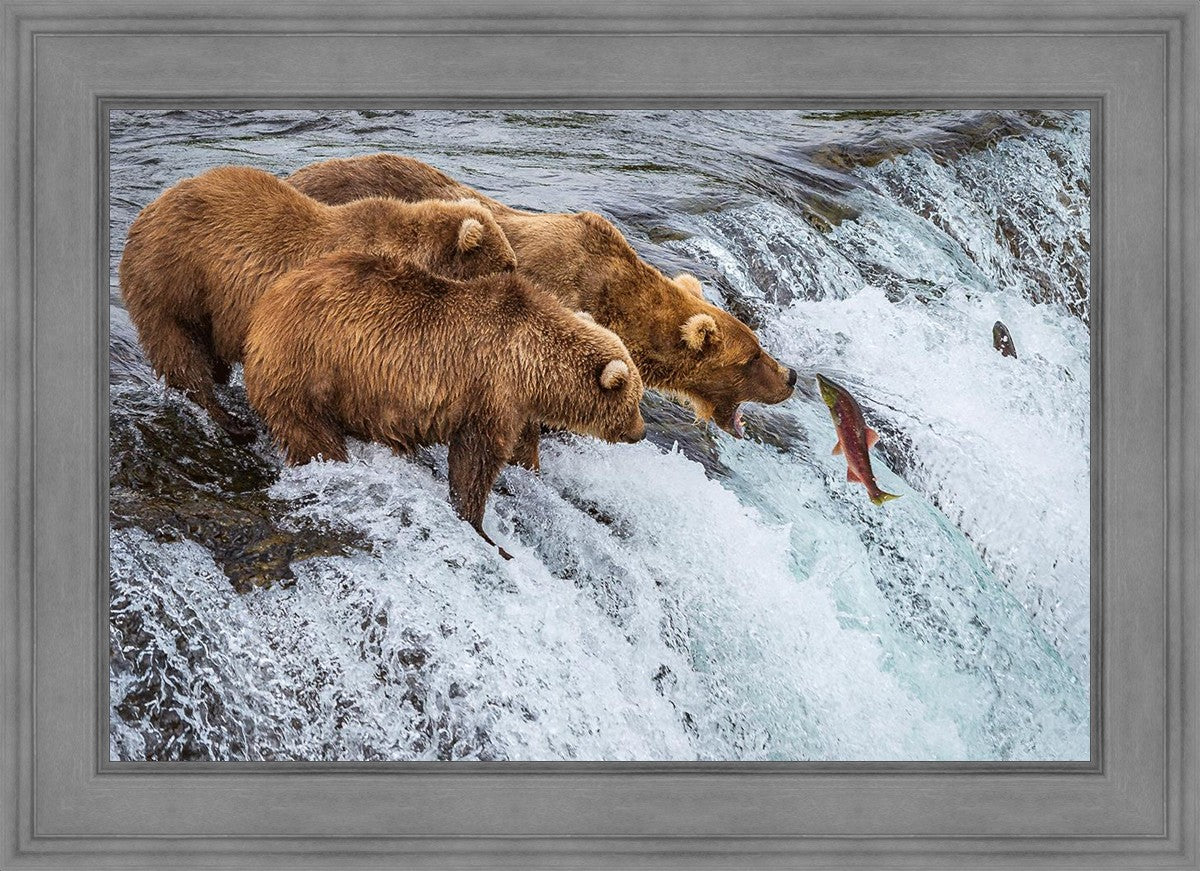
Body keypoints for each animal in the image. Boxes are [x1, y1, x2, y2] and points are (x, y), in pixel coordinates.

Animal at [118, 164, 517, 443]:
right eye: (507, 265)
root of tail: (147, 211)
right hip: (174, 280)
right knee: (180, 351)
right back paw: (231, 421)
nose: (519, 281)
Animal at [243, 249, 646, 559]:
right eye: (635, 401)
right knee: (311, 432)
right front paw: (483, 529)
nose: (640, 432)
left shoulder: (516, 404)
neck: (532, 364)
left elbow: (520, 447)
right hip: (310, 368)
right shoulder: (490, 390)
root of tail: (265, 306)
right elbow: (475, 460)